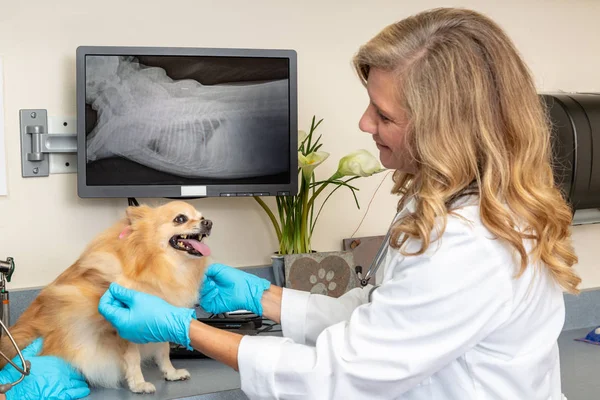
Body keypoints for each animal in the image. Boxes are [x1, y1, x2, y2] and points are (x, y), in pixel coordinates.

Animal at [0, 200, 213, 394]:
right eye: (180, 219)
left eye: (201, 216)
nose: (209, 222)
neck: (160, 266)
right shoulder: (124, 329)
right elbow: (133, 358)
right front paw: (138, 384)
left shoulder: (160, 319)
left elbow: (163, 351)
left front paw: (171, 373)